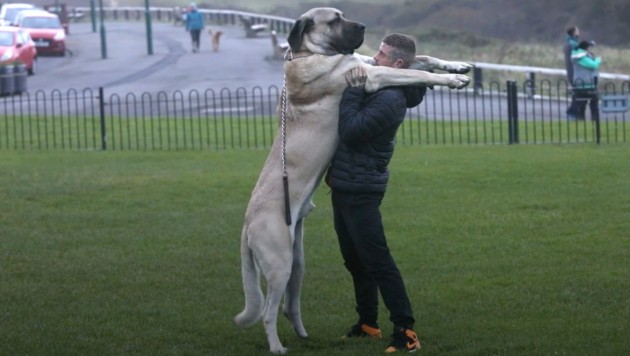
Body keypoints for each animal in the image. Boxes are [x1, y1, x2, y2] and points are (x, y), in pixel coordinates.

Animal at [235, 6, 472, 354]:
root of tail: (247, 224)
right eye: (334, 20)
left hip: (297, 260)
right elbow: (412, 73)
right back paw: (277, 346)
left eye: (342, 14)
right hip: (279, 262)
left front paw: (457, 66)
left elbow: (423, 58)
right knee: (267, 311)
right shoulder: (371, 76)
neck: (311, 52)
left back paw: (304, 335)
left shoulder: (369, 63)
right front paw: (452, 79)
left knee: (289, 305)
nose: (362, 26)